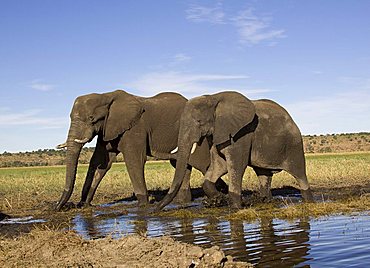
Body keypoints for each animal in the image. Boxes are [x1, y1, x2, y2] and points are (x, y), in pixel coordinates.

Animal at [53, 90, 223, 211]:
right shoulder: (107, 130)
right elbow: (101, 162)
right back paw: (183, 201)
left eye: (91, 118)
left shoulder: (135, 128)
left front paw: (143, 204)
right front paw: (85, 204)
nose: (57, 207)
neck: (106, 95)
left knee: (201, 163)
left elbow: (134, 160)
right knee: (180, 163)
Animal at [158, 91, 314, 210]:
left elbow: (237, 165)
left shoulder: (241, 135)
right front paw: (218, 199)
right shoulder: (217, 136)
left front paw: (234, 207)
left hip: (294, 145)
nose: (156, 209)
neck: (213, 98)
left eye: (199, 122)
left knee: (299, 174)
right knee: (263, 174)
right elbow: (219, 165)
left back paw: (309, 201)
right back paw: (265, 200)